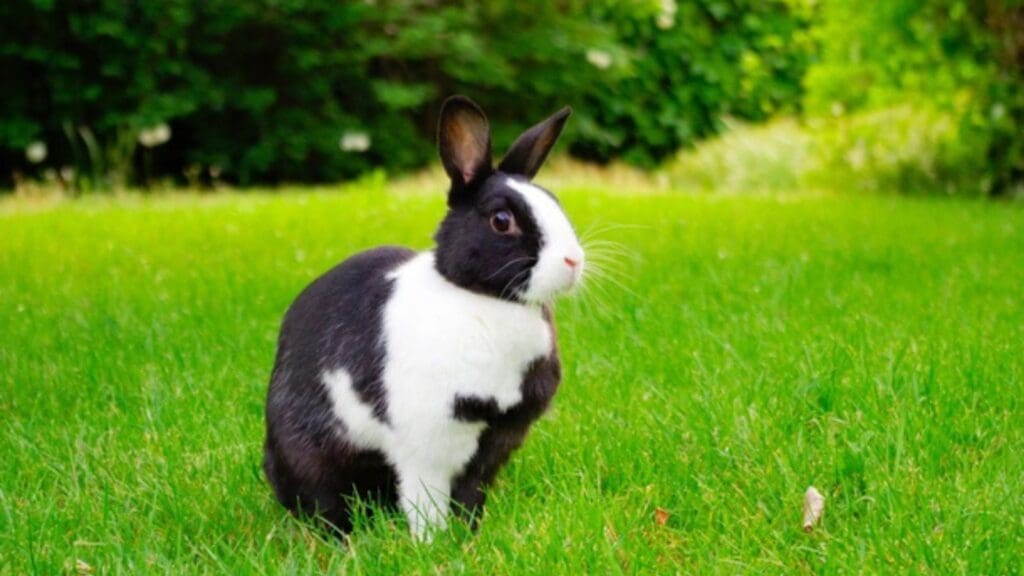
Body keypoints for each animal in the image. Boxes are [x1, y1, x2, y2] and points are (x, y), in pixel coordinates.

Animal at [263, 95, 584, 540]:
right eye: (501, 221)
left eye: (556, 204)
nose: (574, 261)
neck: (484, 299)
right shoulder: (426, 446)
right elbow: (425, 502)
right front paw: (432, 544)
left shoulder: (492, 446)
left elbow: (470, 495)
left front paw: (468, 537)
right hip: (311, 454)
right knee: (322, 499)